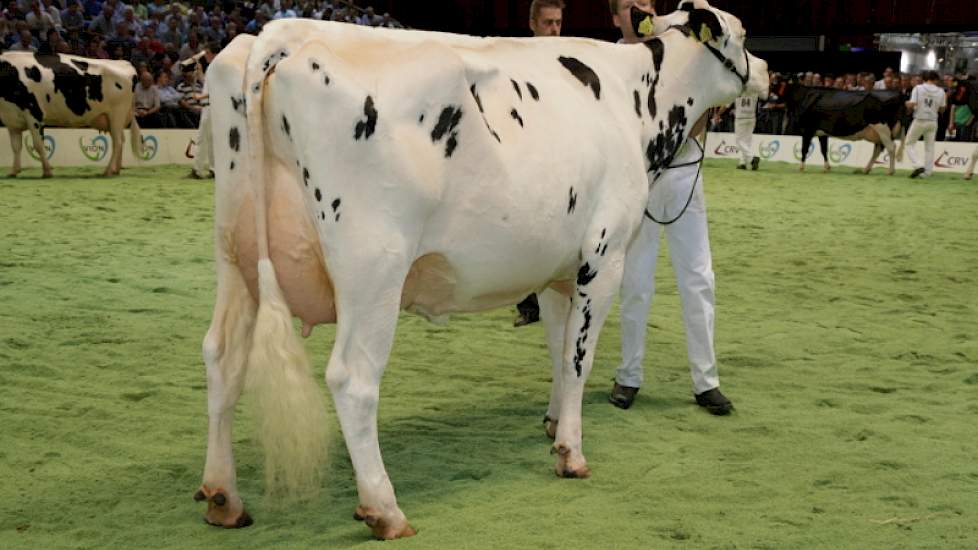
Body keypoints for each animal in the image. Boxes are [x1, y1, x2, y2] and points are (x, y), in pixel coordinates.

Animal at [0, 51, 143, 177]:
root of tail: (124, 63)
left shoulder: (34, 114)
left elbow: (38, 145)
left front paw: (47, 171)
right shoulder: (12, 121)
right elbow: (16, 147)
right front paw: (14, 171)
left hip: (117, 114)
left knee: (117, 142)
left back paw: (107, 171)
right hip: (113, 118)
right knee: (121, 140)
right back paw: (116, 170)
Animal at [194, 0, 768, 540]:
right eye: (743, 34)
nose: (763, 70)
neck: (634, 102)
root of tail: (281, 33)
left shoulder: (558, 268)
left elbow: (558, 350)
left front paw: (553, 422)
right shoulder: (604, 257)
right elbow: (579, 358)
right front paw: (572, 453)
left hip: (235, 256)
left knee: (223, 357)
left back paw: (223, 496)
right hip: (373, 267)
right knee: (353, 379)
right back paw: (384, 508)